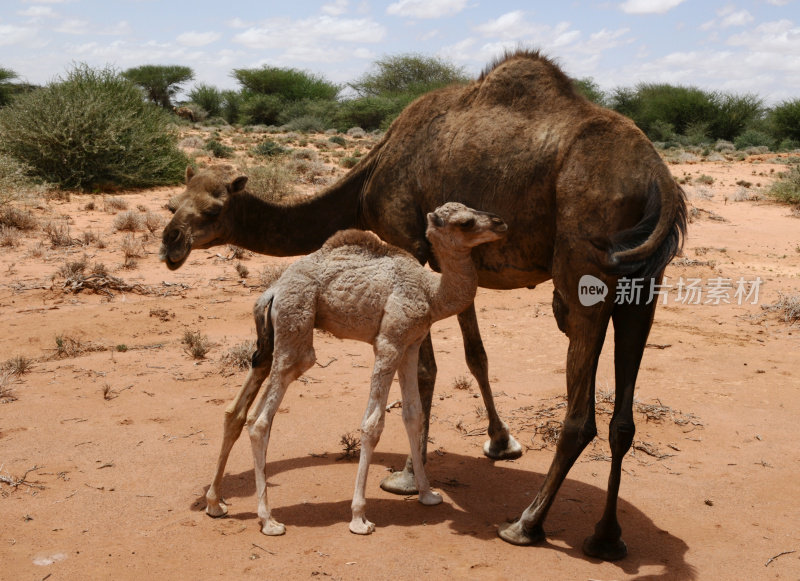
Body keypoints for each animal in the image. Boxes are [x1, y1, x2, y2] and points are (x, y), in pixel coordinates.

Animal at [206, 203, 506, 536]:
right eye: (466, 222)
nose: (501, 223)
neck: (432, 293)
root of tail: (272, 290)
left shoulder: (410, 343)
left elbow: (413, 415)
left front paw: (427, 494)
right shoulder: (389, 342)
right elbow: (373, 424)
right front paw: (359, 517)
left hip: (274, 335)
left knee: (239, 410)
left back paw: (215, 503)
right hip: (297, 324)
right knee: (260, 420)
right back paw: (268, 520)